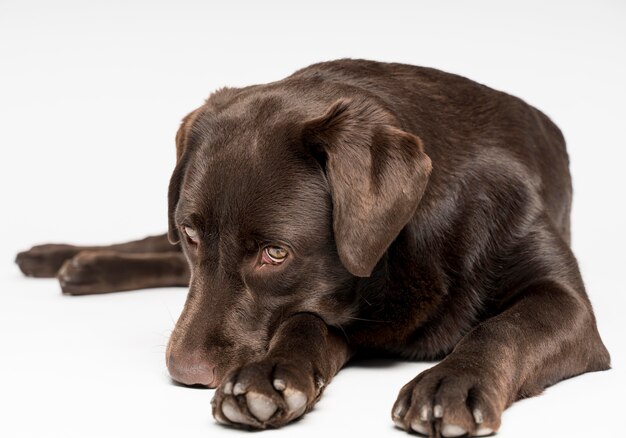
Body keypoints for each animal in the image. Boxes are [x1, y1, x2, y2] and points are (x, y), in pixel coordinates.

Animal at [15, 59, 608, 438]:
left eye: (275, 254)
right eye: (191, 235)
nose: (183, 370)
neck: (401, 253)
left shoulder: (566, 304)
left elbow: (504, 326)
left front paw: (451, 383)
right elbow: (303, 320)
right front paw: (270, 377)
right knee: (152, 246)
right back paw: (60, 258)